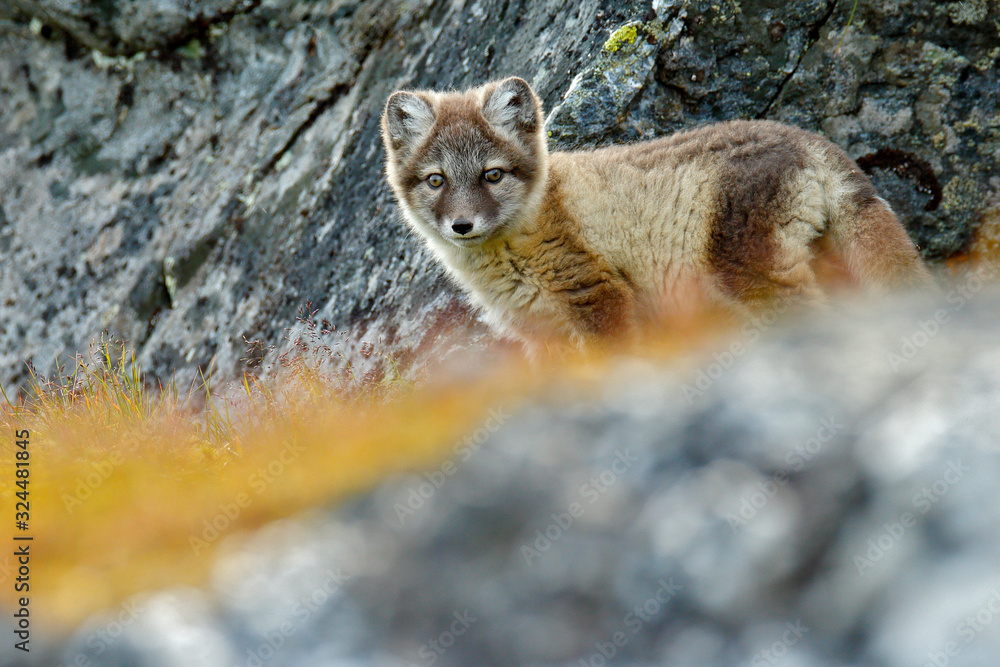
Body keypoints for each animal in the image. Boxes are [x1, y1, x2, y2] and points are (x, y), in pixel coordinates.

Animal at [380, 76, 933, 350]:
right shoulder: (543, 338)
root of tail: (811, 141)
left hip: (753, 275)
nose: (462, 225)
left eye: (492, 175)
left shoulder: (595, 294)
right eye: (436, 180)